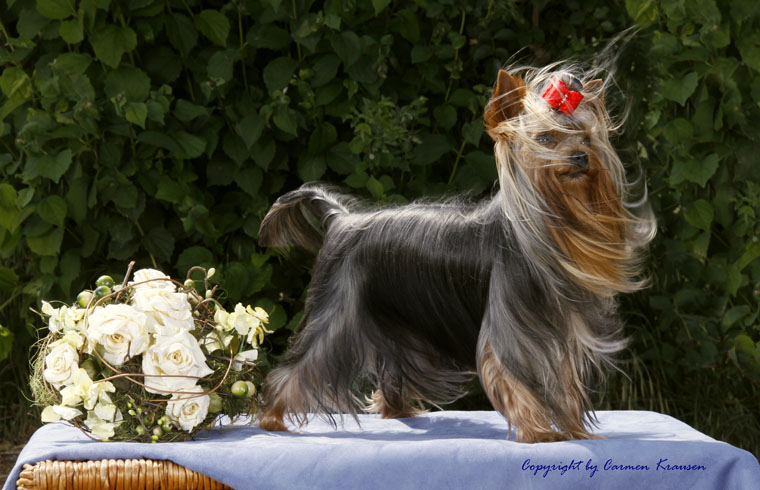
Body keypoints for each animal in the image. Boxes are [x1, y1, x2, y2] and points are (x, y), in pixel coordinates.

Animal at [256, 63, 655, 442]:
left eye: (586, 137)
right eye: (544, 138)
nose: (580, 157)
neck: (542, 234)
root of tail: (340, 219)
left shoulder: (558, 332)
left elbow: (564, 382)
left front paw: (573, 429)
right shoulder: (509, 327)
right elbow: (509, 374)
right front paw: (540, 432)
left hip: (394, 319)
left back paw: (397, 409)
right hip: (338, 312)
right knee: (299, 366)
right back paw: (272, 418)